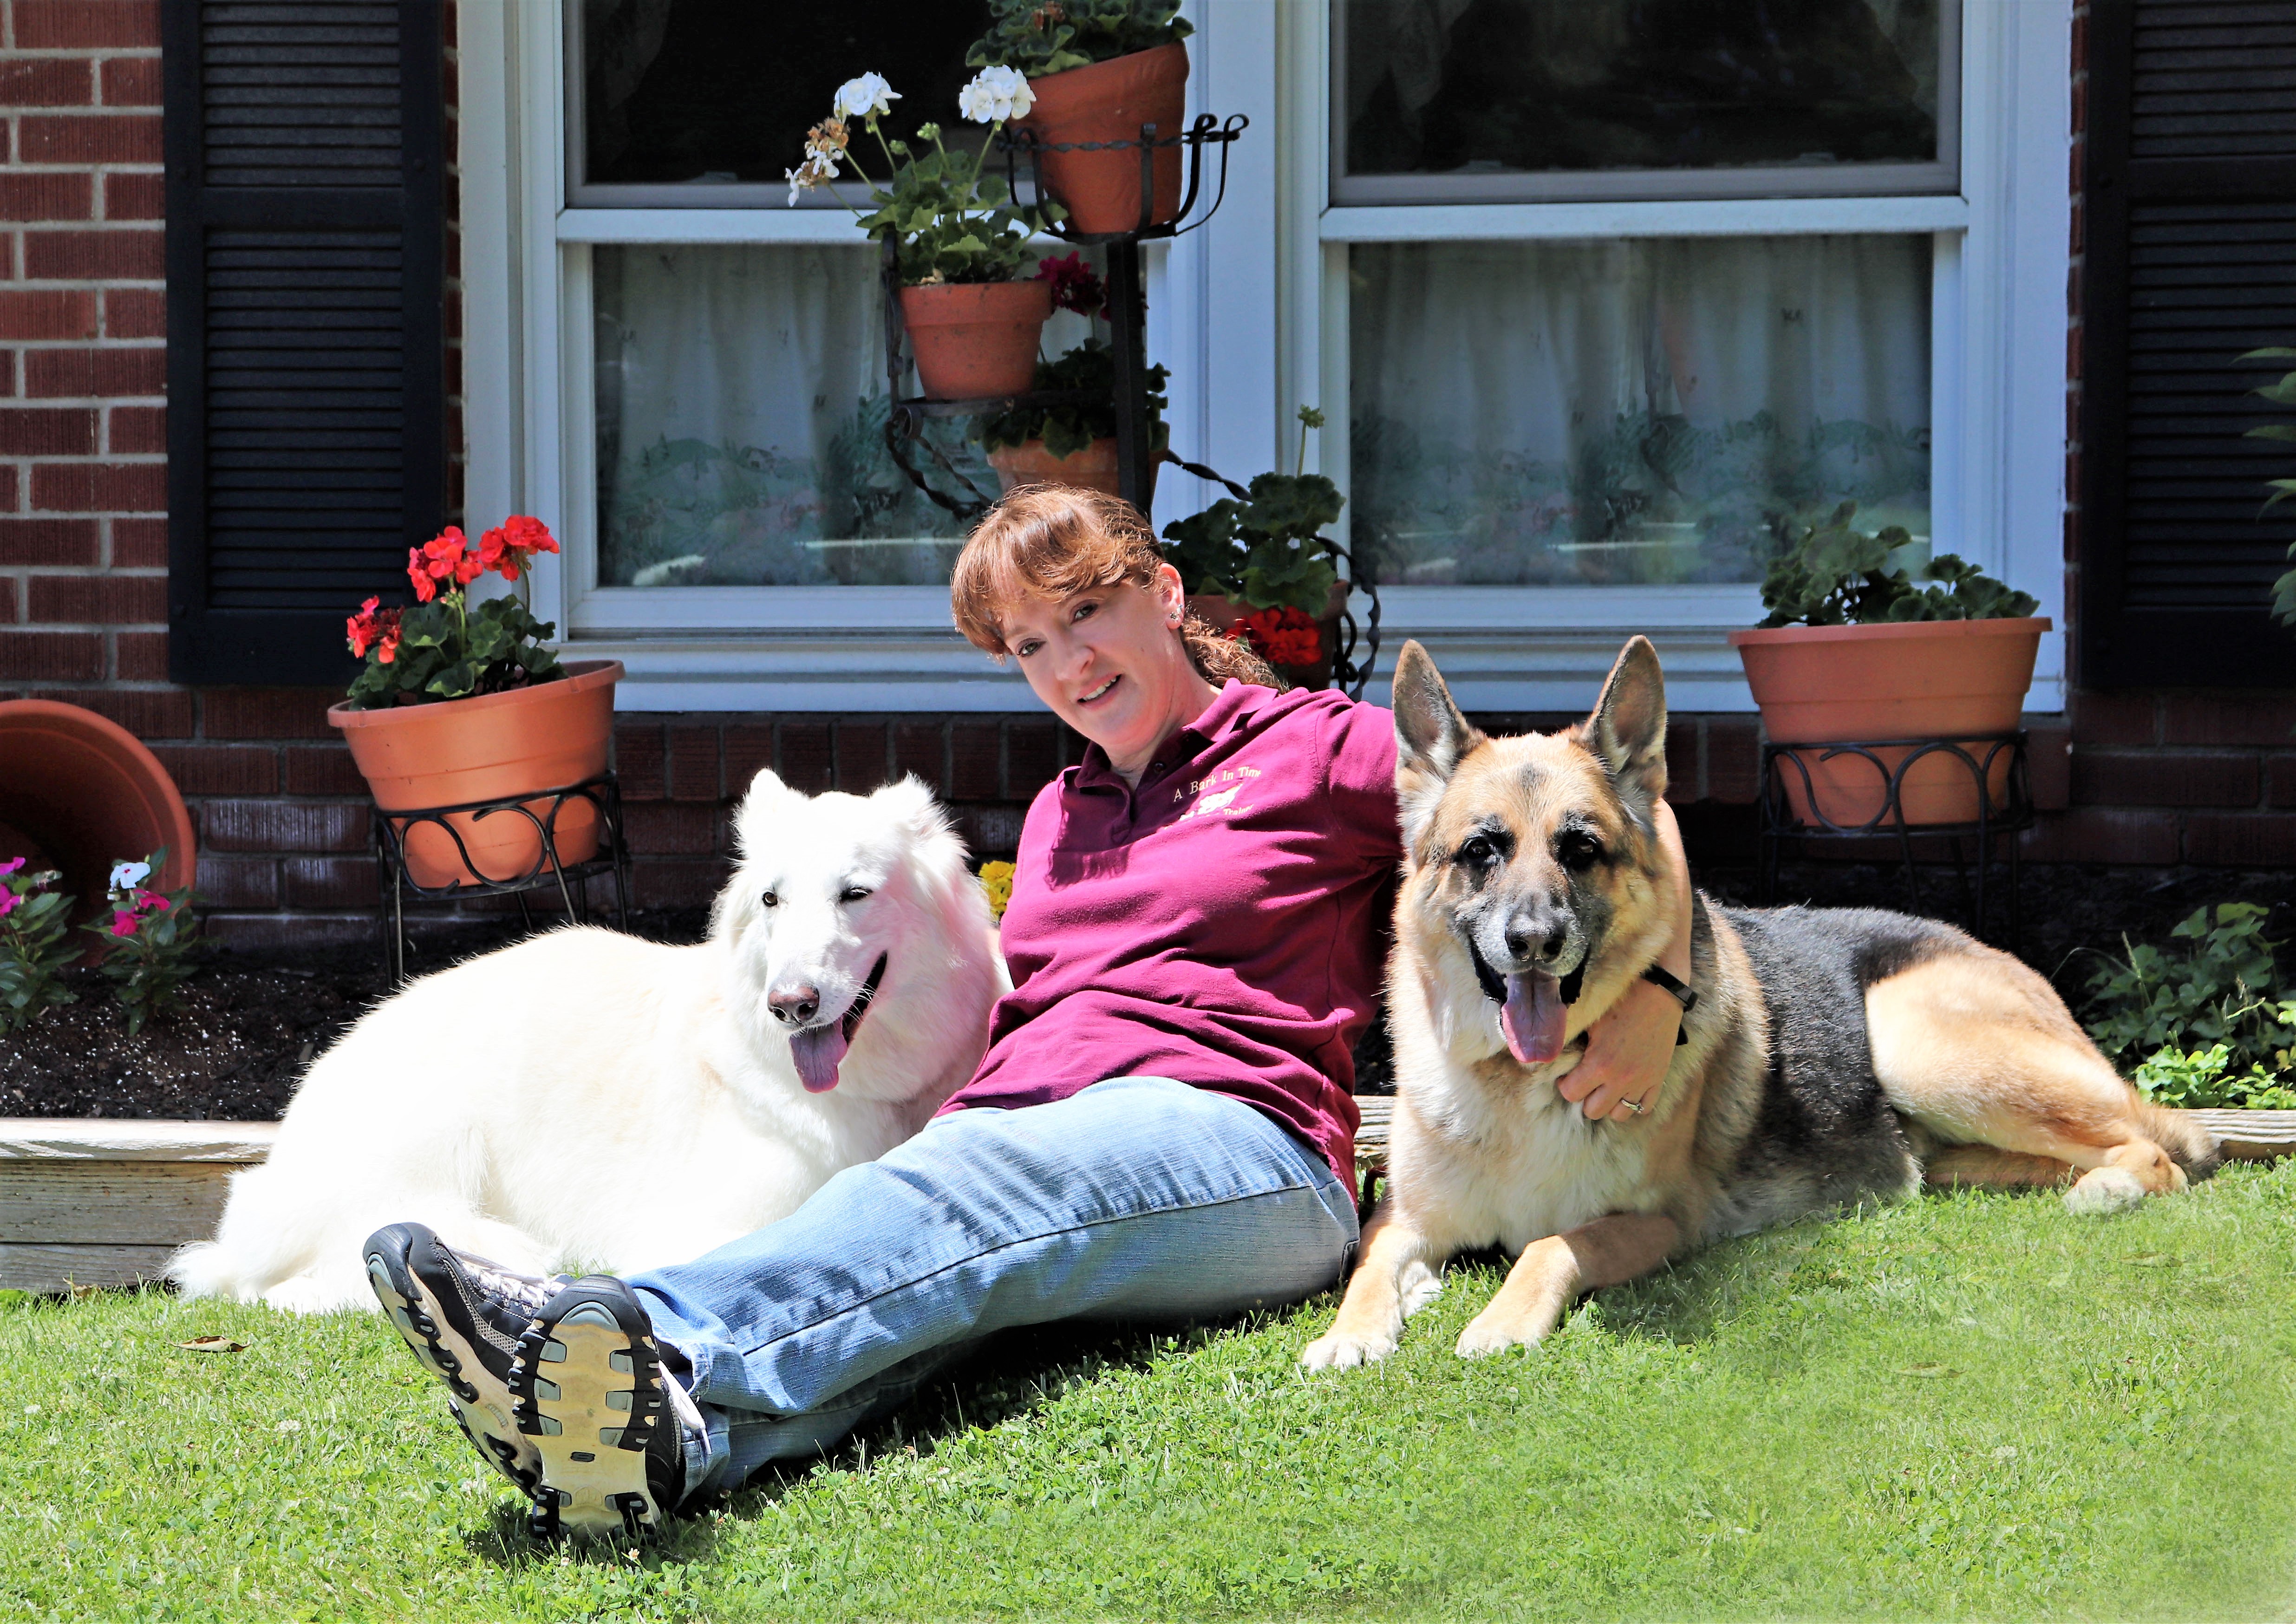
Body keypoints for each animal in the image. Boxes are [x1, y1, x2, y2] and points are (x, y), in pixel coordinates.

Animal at [166, 767, 1010, 1314]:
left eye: (855, 894)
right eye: (772, 900)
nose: (790, 1006)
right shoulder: (710, 1225)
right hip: (432, 1132)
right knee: (301, 1281)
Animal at [1313, 643, 2222, 1369]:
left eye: (1580, 849)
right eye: (1480, 850)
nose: (1533, 941)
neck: (1514, 1085)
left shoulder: (1657, 1221)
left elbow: (1547, 1243)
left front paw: (1500, 1321)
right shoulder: (1403, 1218)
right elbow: (1368, 1267)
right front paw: (1349, 1333)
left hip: (1917, 1047)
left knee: (2163, 1149)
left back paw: (2113, 1188)